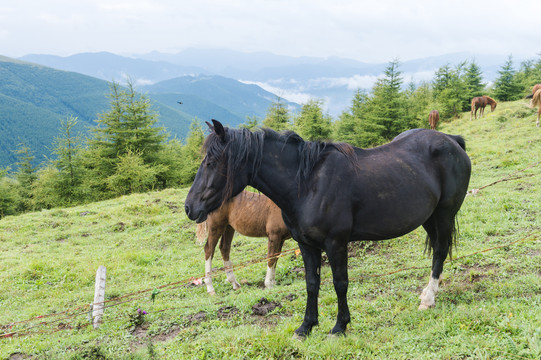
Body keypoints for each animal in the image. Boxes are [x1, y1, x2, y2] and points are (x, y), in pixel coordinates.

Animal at [184, 120, 470, 338]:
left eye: (211, 163)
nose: (189, 207)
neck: (307, 184)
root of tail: (452, 141)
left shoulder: (336, 243)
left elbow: (339, 283)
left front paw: (339, 326)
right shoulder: (306, 245)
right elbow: (312, 283)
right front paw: (306, 327)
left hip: (444, 215)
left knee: (440, 251)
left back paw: (428, 299)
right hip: (429, 218)